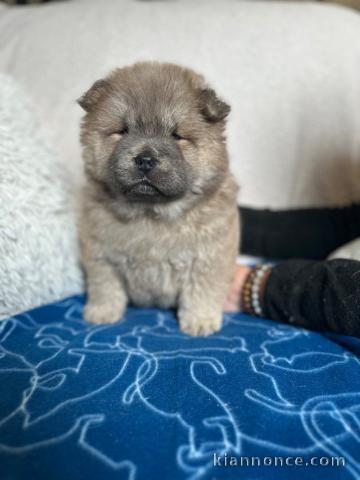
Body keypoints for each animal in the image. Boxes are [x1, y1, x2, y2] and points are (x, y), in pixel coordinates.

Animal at [79, 62, 242, 336]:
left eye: (177, 135)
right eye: (122, 131)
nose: (145, 159)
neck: (151, 213)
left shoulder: (209, 257)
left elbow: (201, 291)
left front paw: (199, 322)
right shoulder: (100, 253)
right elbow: (105, 286)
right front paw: (102, 312)